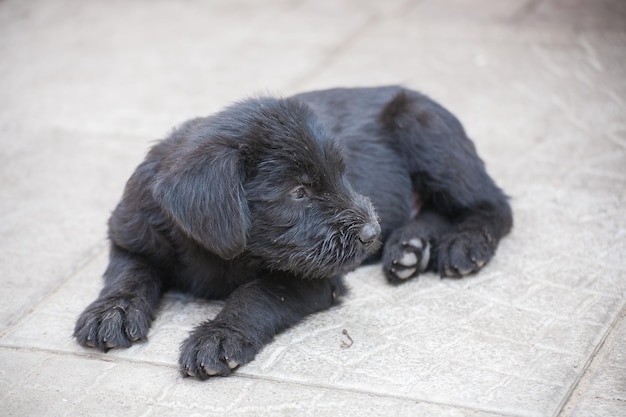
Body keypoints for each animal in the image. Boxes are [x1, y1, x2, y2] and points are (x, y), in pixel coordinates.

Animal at [74, 86, 512, 378]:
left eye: (342, 175)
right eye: (299, 192)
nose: (371, 232)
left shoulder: (316, 277)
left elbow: (258, 294)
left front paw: (219, 335)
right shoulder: (131, 233)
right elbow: (129, 272)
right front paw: (112, 310)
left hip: (428, 132)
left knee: (494, 205)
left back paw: (463, 244)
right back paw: (411, 247)